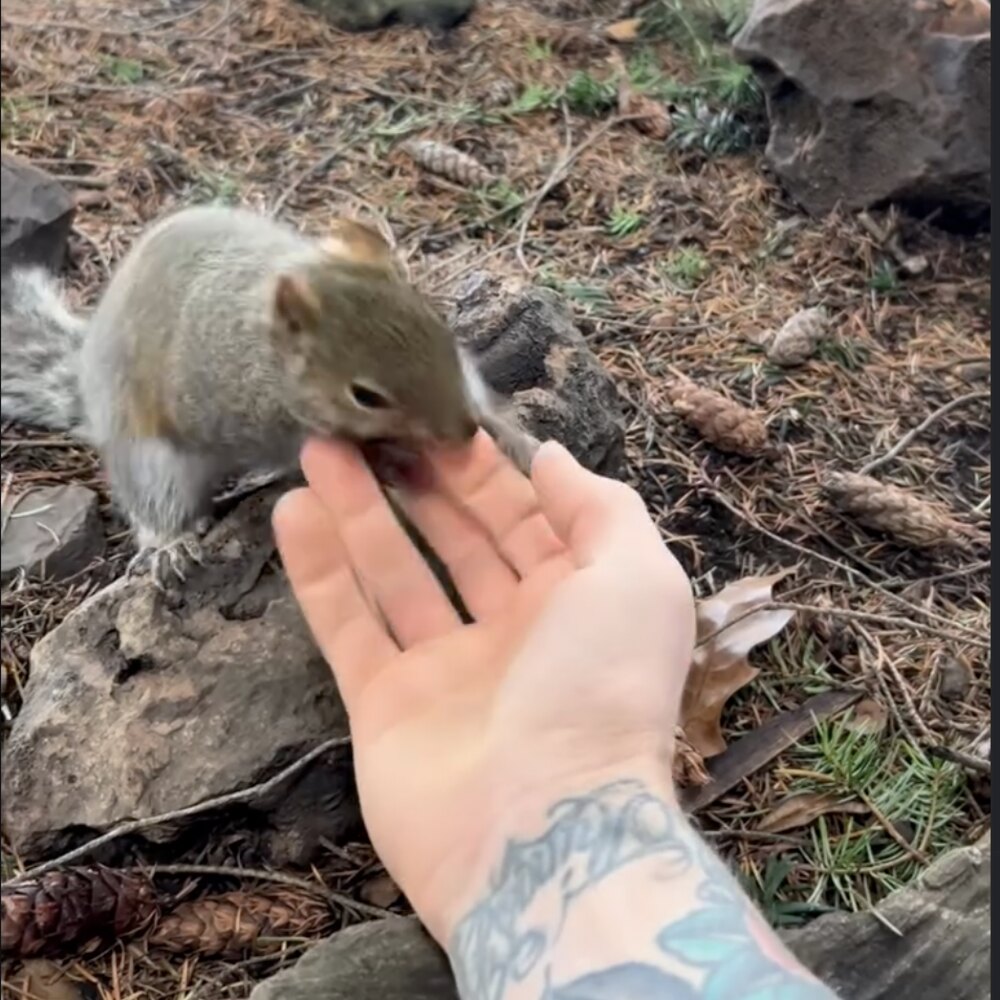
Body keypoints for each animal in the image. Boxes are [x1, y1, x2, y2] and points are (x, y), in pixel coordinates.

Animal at [0, 205, 539, 587]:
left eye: (441, 331)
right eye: (365, 396)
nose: (463, 431)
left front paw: (508, 433)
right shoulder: (235, 411)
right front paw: (385, 454)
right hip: (148, 455)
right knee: (155, 500)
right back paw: (170, 545)